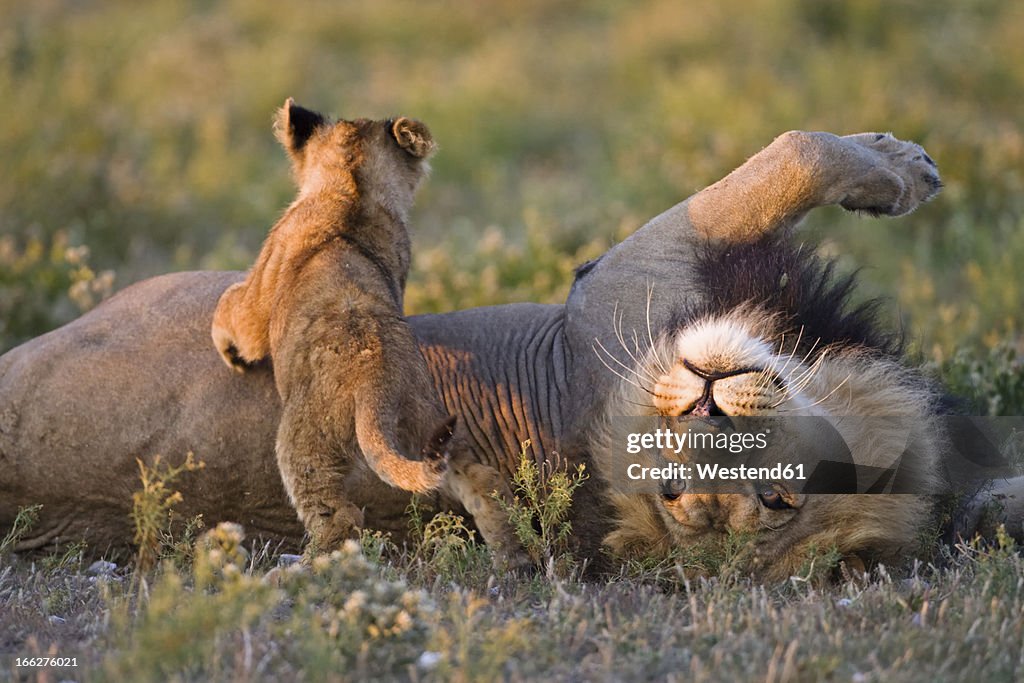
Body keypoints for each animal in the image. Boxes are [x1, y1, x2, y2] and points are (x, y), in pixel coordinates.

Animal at [0, 129, 1019, 573]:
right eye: (680, 492)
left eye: (775, 500)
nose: (706, 397)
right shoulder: (631, 275)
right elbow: (795, 152)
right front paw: (904, 167)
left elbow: (794, 153)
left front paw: (899, 168)